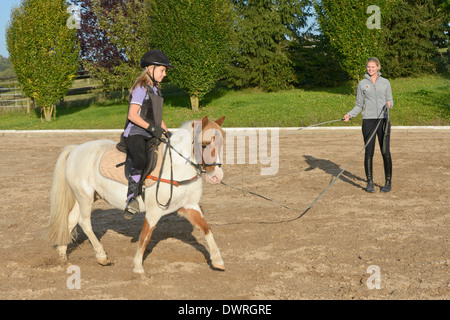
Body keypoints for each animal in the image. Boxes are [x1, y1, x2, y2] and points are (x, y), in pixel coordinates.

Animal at [45, 116, 225, 274]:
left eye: (221, 144)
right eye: (204, 145)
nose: (217, 176)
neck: (177, 166)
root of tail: (75, 149)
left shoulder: (189, 206)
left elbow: (207, 229)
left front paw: (218, 261)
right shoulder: (154, 211)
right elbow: (145, 236)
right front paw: (138, 267)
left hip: (83, 197)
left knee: (70, 220)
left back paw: (62, 256)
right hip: (85, 197)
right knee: (84, 222)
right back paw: (102, 257)